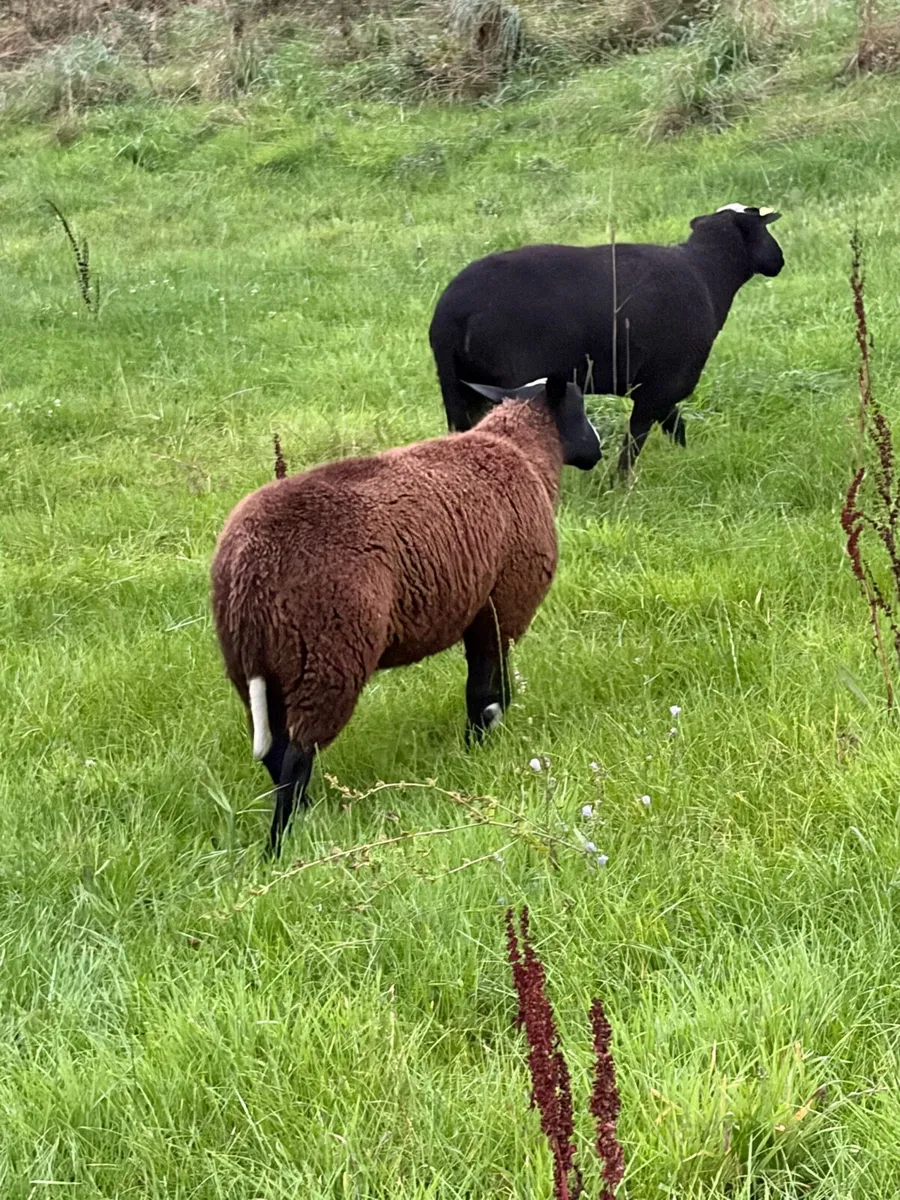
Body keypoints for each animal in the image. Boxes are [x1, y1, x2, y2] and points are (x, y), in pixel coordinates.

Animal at [210, 374, 601, 855]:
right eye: (581, 408)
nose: (597, 450)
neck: (521, 453)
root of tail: (250, 563)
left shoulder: (478, 608)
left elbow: (485, 684)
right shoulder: (503, 602)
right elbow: (486, 687)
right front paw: (479, 743)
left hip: (257, 667)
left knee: (276, 753)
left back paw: (306, 817)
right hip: (327, 655)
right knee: (297, 757)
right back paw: (280, 847)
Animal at [428, 204, 784, 473]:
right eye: (764, 227)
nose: (779, 261)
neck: (708, 273)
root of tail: (451, 312)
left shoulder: (652, 385)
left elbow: (675, 427)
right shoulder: (661, 383)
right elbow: (636, 439)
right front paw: (621, 485)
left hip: (458, 386)